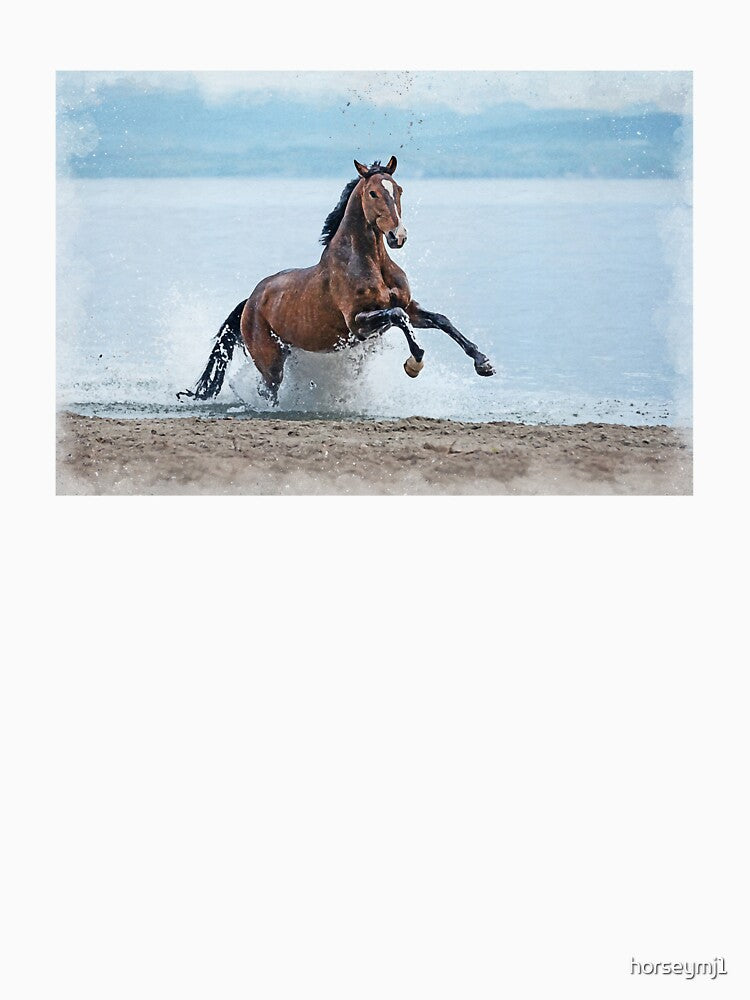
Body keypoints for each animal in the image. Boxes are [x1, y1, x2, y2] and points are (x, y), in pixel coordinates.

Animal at [178, 155, 495, 406]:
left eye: (399, 190)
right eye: (373, 193)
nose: (398, 236)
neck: (371, 263)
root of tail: (250, 302)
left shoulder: (411, 307)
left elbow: (440, 319)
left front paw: (483, 363)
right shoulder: (358, 323)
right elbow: (398, 315)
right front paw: (414, 363)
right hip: (269, 361)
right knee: (267, 391)